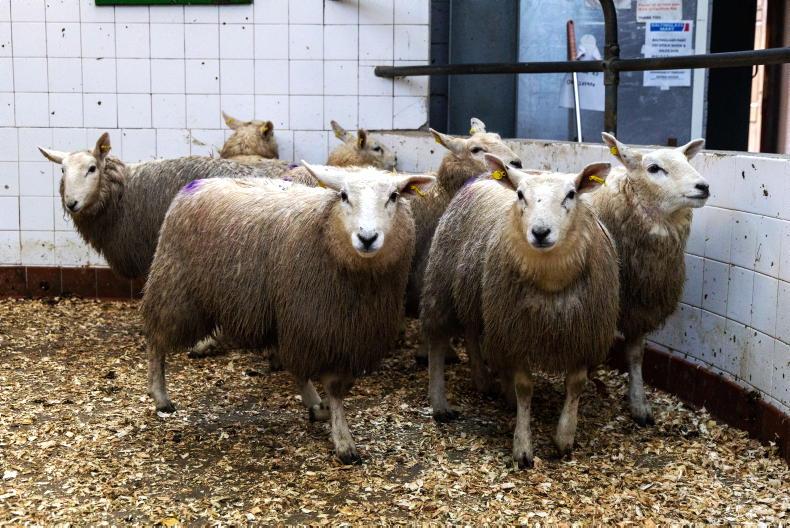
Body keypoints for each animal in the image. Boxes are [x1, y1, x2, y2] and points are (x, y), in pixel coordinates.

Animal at [142, 165, 435, 463]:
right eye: (343, 195)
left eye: (394, 196)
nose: (367, 238)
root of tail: (196, 185)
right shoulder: (313, 323)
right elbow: (332, 386)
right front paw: (343, 441)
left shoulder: (344, 331)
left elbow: (334, 382)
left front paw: (326, 413)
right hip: (175, 288)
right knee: (156, 340)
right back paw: (160, 396)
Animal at [420, 154, 619, 468]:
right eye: (521, 195)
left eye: (571, 194)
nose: (540, 232)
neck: (551, 279)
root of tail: (484, 176)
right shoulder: (517, 333)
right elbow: (525, 387)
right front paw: (523, 447)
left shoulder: (582, 332)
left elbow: (575, 384)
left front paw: (564, 438)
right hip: (443, 285)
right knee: (438, 340)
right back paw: (440, 403)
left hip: (482, 298)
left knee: (472, 332)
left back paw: (486, 382)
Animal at [590, 133, 708, 426]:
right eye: (654, 168)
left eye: (687, 161)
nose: (703, 187)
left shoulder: (640, 307)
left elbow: (635, 355)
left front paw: (639, 404)